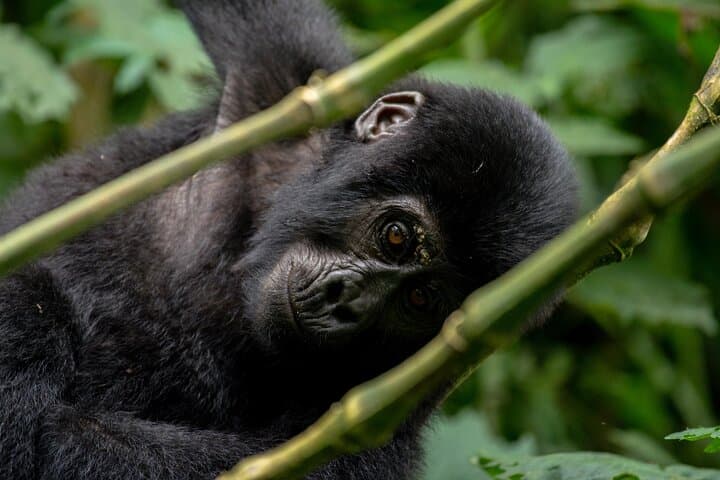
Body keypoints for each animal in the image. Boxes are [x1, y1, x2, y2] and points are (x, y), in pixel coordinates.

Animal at [0, 0, 577, 479]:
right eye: (395, 237)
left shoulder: (399, 395)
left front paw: (64, 428)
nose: (345, 300)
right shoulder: (280, 80)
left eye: (420, 299)